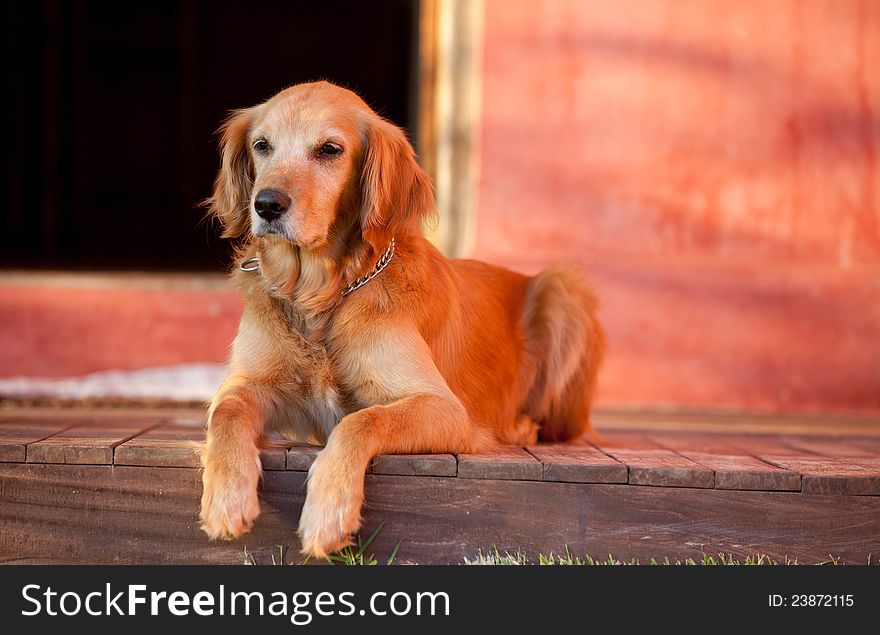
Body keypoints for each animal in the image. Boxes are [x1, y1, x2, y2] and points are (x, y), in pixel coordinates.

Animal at [199, 80, 604, 560]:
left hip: (564, 289)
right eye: (262, 145)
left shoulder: (443, 408)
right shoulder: (248, 383)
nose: (266, 205)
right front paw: (226, 498)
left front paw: (328, 511)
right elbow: (227, 413)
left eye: (330, 149)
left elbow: (362, 420)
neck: (321, 297)